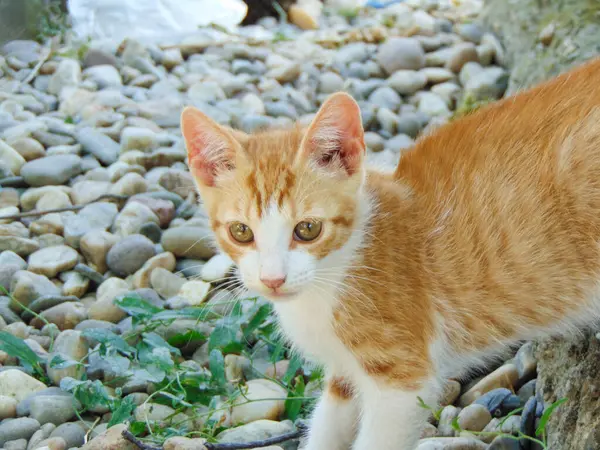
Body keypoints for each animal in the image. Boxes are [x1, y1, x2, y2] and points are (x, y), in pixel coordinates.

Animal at [180, 57, 600, 450]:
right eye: (241, 232)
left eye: (308, 229)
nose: (273, 280)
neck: (334, 274)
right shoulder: (344, 375)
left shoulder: (401, 381)